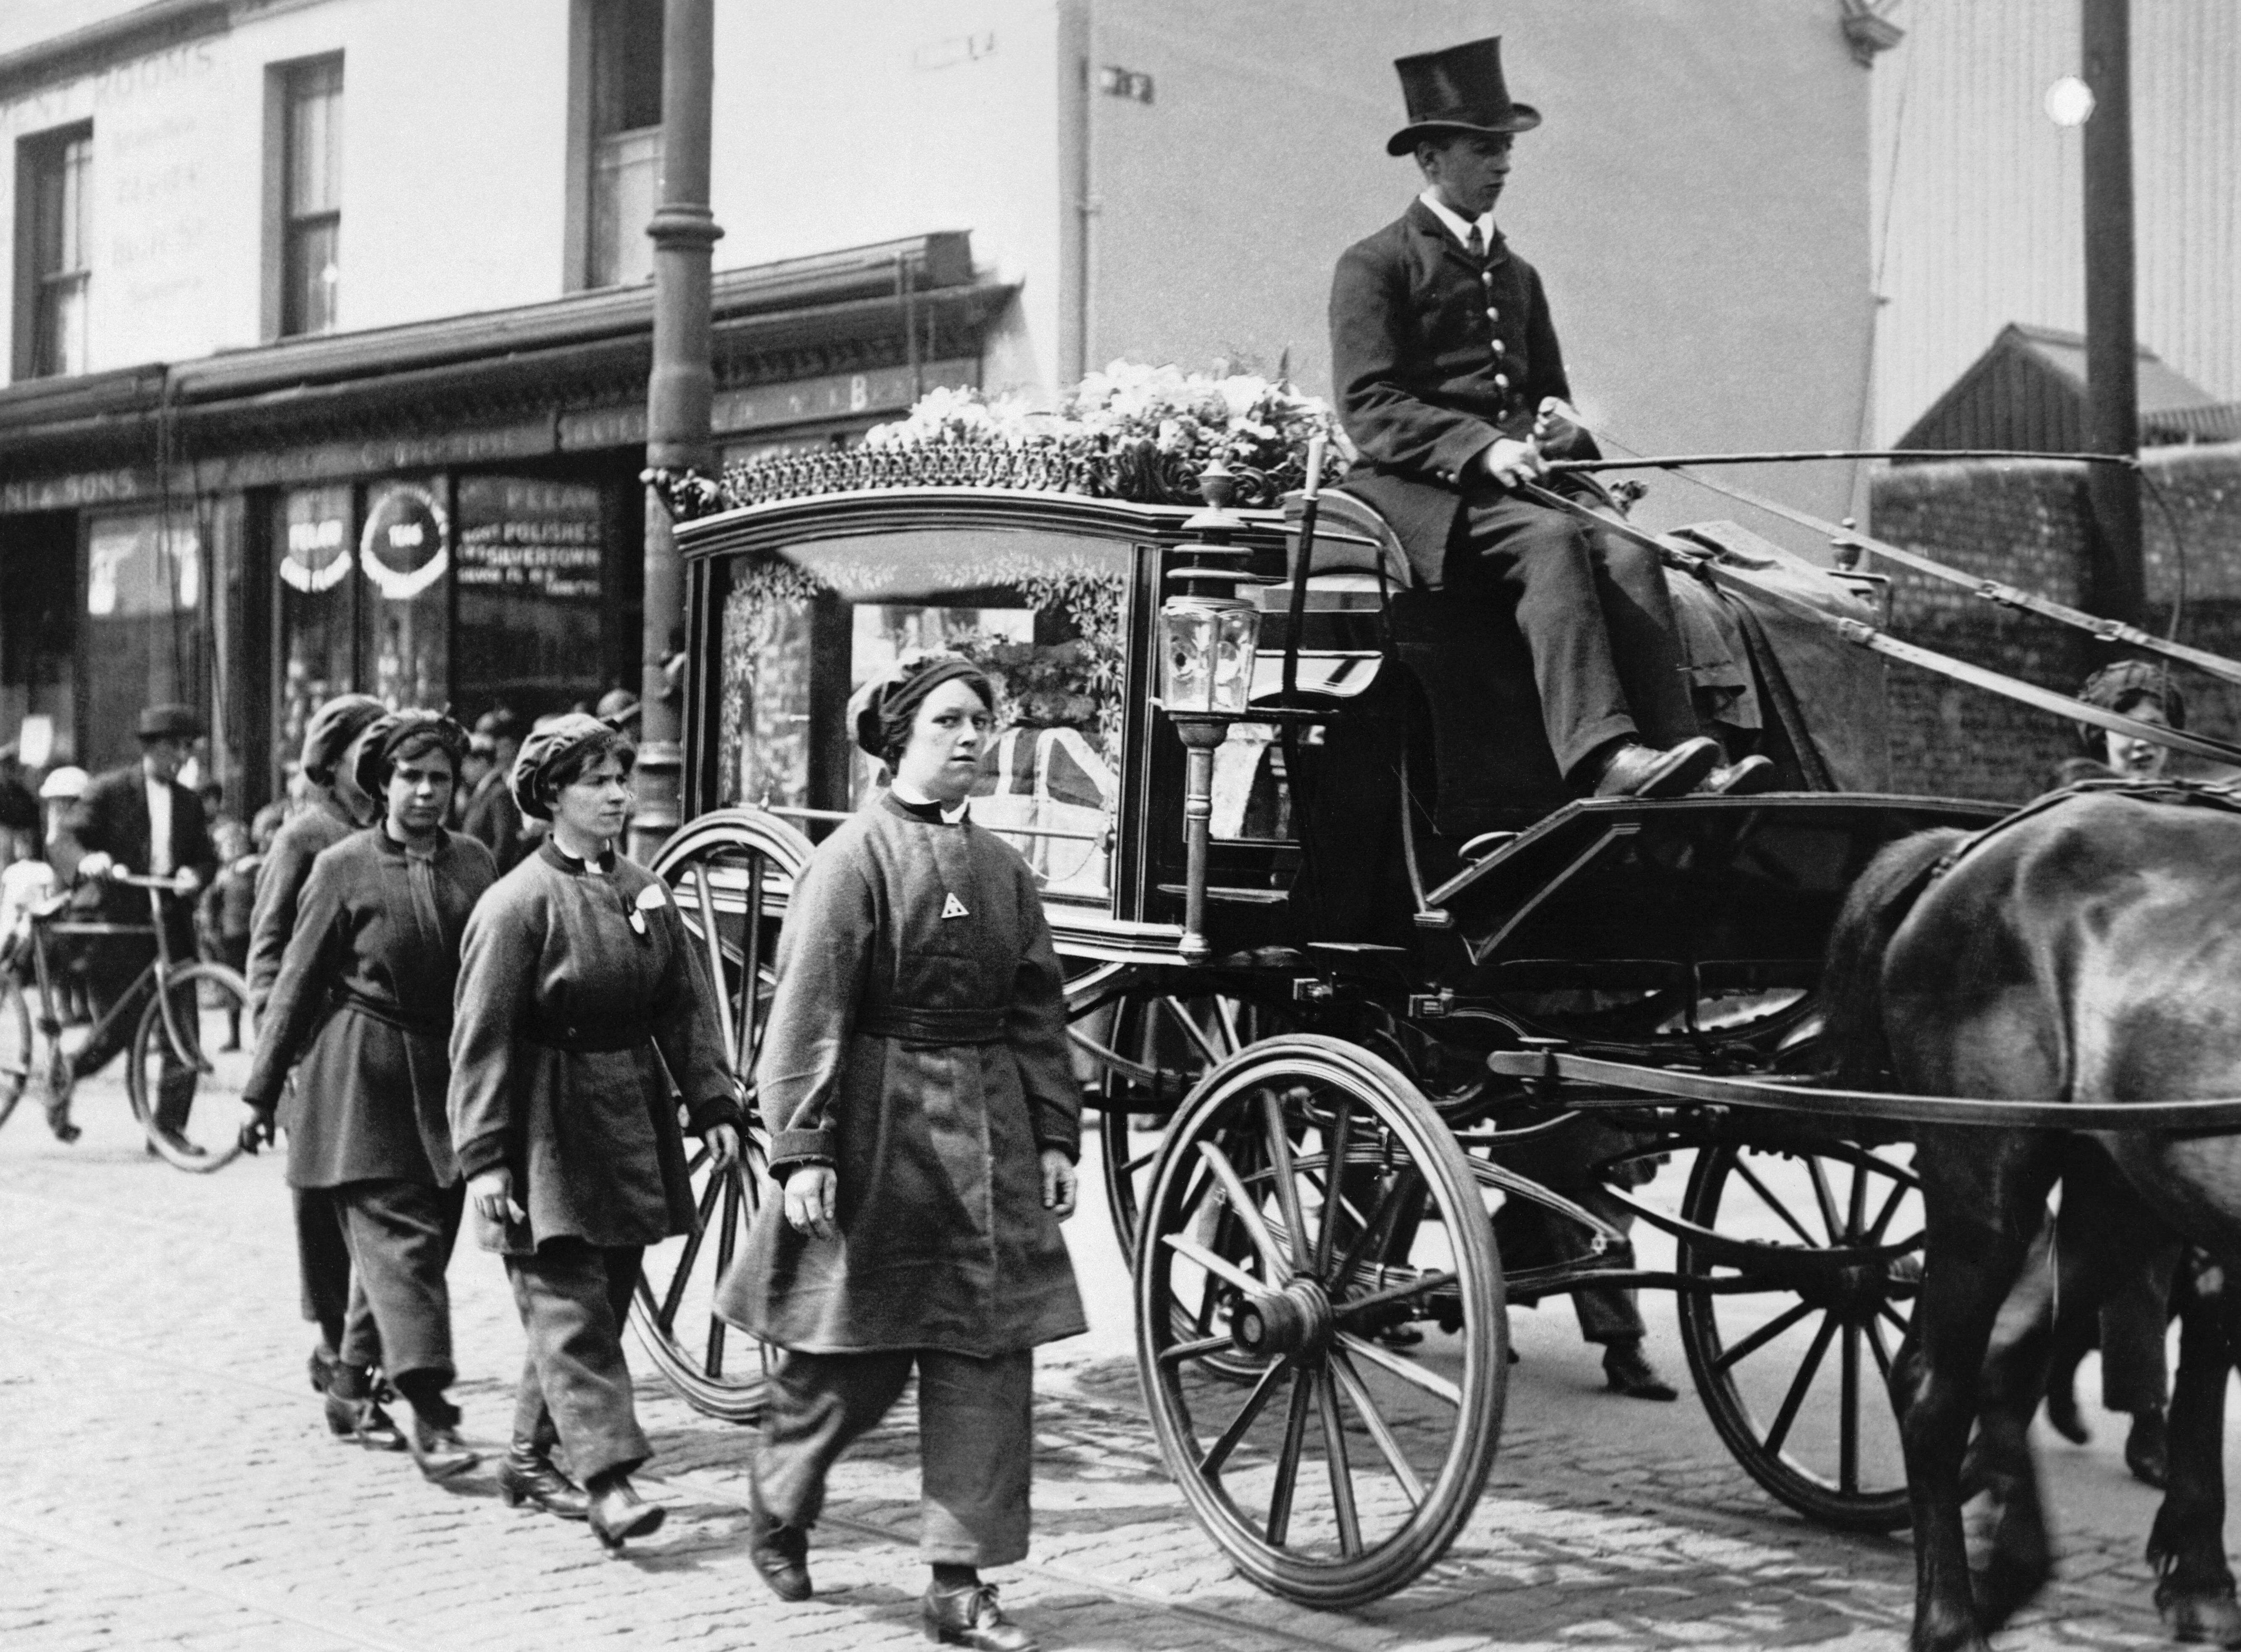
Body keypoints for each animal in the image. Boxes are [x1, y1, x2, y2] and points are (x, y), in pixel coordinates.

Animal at [1828, 784, 2241, 1649]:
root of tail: (1967, 852)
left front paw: (2196, 1575)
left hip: (2118, 1190)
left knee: (2005, 1357)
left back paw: (2006, 1567)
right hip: (1982, 1182)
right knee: (1933, 1392)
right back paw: (1951, 1617)